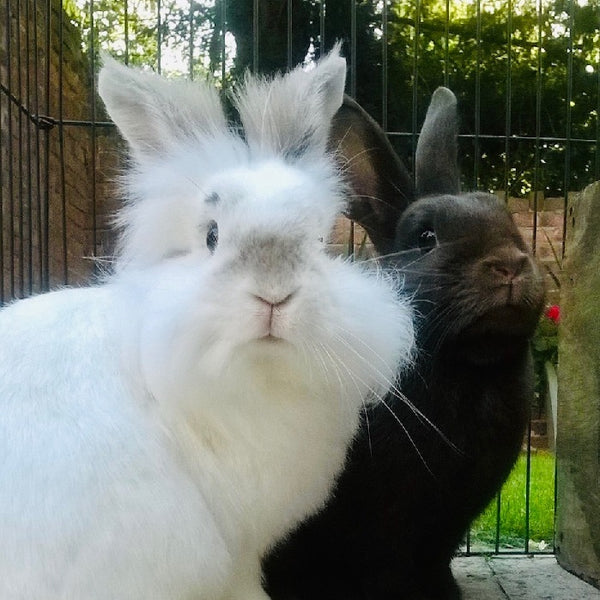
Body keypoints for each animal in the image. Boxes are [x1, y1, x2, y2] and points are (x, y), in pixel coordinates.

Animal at [264, 86, 548, 596]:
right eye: (425, 237)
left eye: (512, 225)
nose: (510, 264)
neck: (468, 366)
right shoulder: (384, 515)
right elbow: (386, 561)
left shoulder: (451, 519)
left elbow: (435, 559)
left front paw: (445, 592)